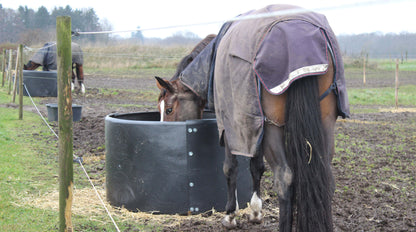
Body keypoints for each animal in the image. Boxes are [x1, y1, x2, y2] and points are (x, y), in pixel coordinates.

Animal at [154, 4, 350, 231]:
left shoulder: (231, 125)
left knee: (284, 178)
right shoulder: (254, 128)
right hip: (324, 124)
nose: (166, 131)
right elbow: (257, 167)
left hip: (273, 128)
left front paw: (231, 215)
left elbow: (230, 168)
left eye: (168, 109)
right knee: (326, 177)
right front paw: (255, 212)